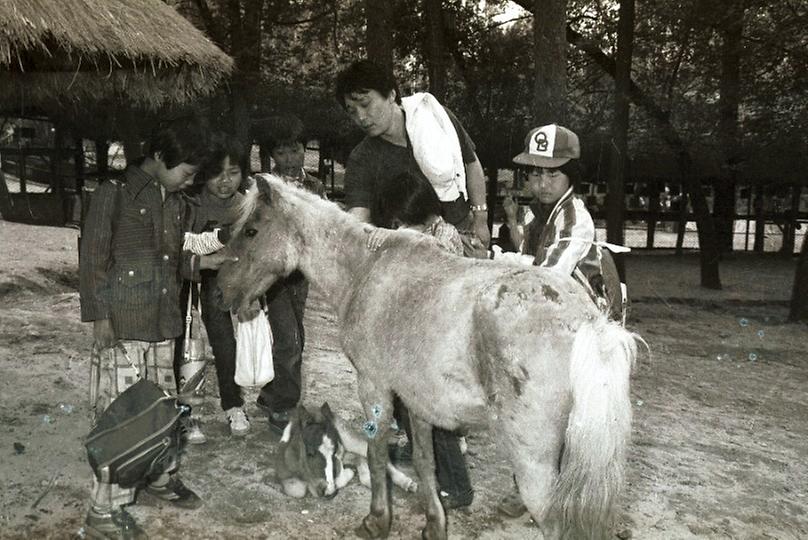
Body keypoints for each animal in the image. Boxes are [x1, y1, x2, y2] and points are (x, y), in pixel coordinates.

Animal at [218, 176, 640, 540]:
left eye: (251, 231)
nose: (222, 293)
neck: (365, 270)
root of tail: (589, 322)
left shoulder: (373, 386)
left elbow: (375, 454)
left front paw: (377, 520)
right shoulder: (418, 399)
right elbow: (425, 462)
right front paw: (434, 523)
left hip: (534, 460)